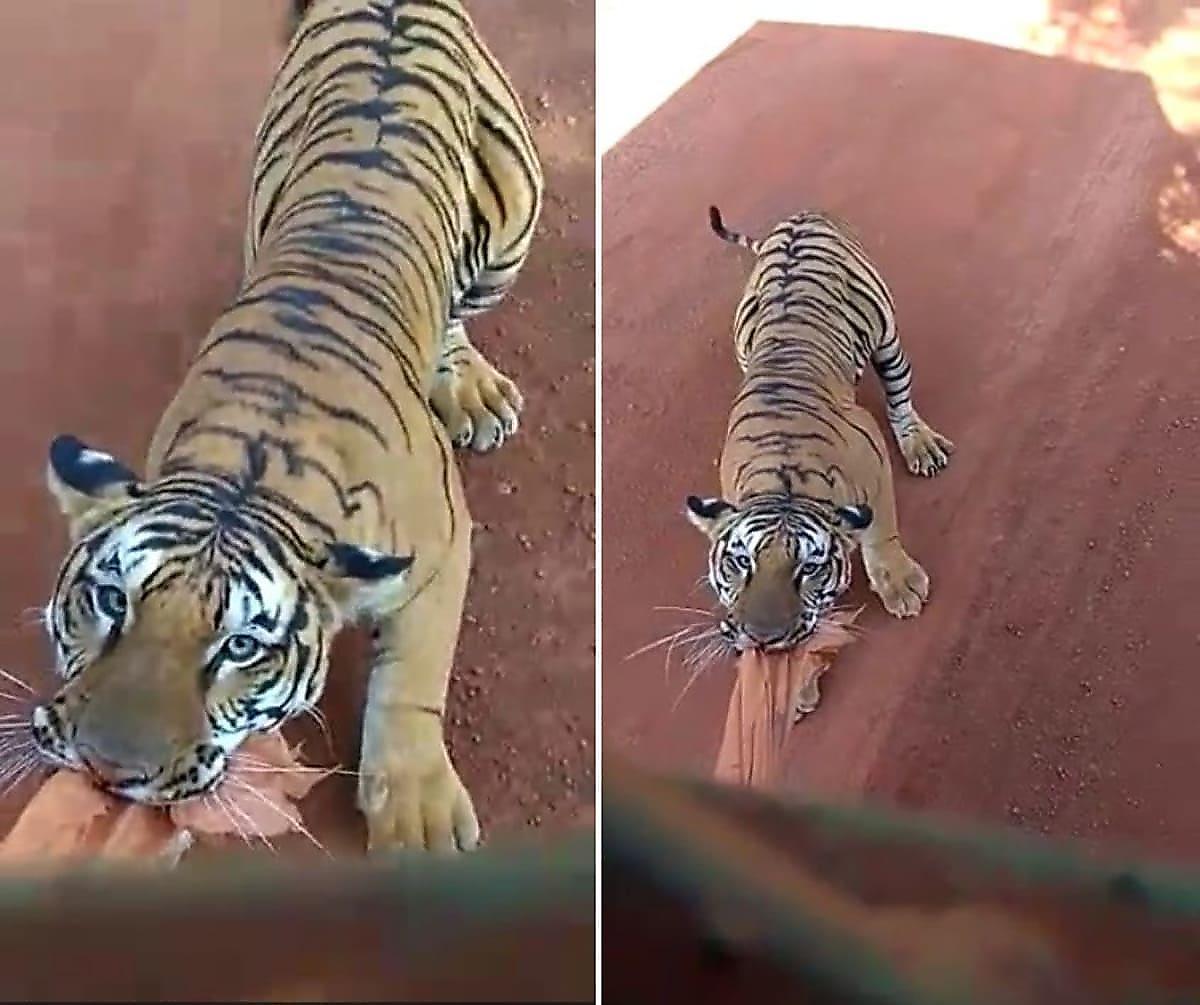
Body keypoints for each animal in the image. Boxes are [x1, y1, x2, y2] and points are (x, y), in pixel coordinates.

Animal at [28, 0, 544, 853]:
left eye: (240, 647)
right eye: (109, 600)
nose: (106, 770)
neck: (252, 470)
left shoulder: (442, 545)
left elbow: (413, 676)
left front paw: (418, 814)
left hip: (511, 221)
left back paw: (470, 389)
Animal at [686, 208, 955, 657]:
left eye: (809, 568)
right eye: (740, 562)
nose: (762, 637)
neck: (784, 479)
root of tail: (801, 215)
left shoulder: (874, 462)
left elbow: (881, 531)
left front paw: (901, 585)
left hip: (887, 338)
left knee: (899, 396)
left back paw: (921, 445)